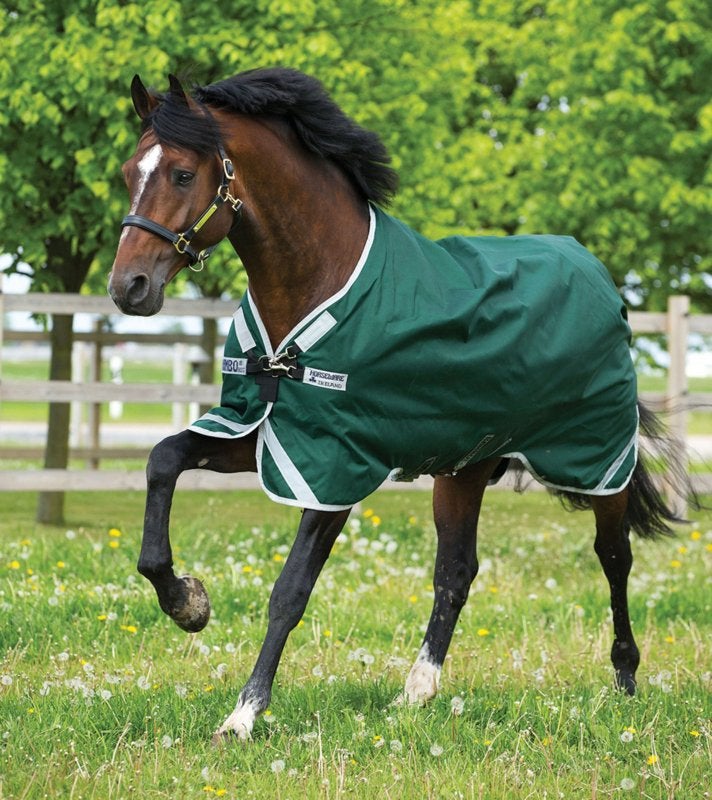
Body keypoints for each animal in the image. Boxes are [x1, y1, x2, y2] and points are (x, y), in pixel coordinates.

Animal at [109, 68, 687, 743]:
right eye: (129, 171)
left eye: (181, 174)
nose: (128, 288)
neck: (320, 278)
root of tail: (599, 276)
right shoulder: (268, 433)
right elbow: (163, 460)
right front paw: (188, 603)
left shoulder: (334, 466)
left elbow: (290, 590)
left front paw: (244, 713)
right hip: (463, 469)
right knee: (456, 572)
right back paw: (417, 690)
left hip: (596, 460)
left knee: (614, 557)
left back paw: (625, 679)